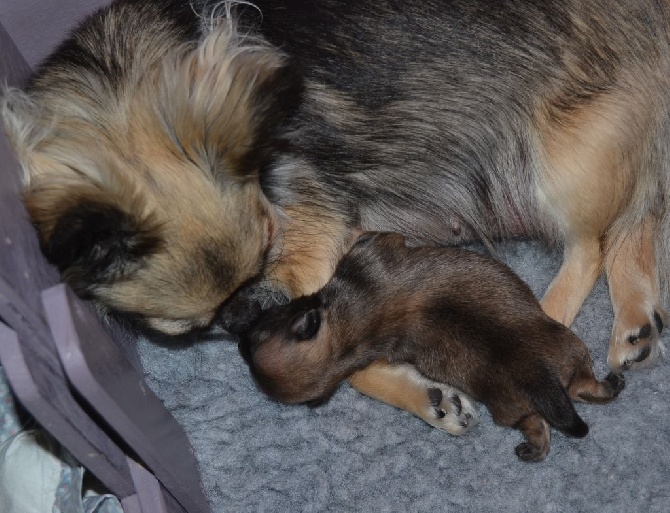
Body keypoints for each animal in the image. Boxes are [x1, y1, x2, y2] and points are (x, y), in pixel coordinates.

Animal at [1, 0, 670, 432]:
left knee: (592, 244)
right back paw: (635, 323)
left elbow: (346, 358)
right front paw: (428, 396)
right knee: (635, 216)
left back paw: (546, 317)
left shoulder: (319, 248)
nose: (245, 316)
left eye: (268, 246)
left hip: (561, 165)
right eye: (188, 327)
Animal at [240, 232, 624, 460]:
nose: (241, 330)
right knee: (555, 412)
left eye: (260, 331)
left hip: (568, 352)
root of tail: (537, 374)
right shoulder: (375, 248)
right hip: (541, 381)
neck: (347, 338)